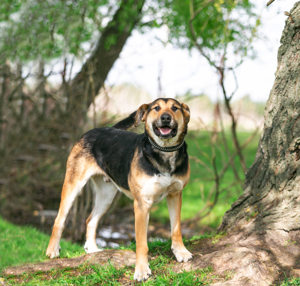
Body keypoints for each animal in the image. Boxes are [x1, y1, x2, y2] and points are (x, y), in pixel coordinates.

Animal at [46, 97, 193, 280]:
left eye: (175, 108)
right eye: (156, 108)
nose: (165, 118)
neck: (164, 152)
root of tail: (94, 130)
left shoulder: (175, 195)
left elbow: (176, 229)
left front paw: (180, 252)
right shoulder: (142, 204)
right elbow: (142, 243)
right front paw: (141, 270)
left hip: (106, 195)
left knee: (90, 220)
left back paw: (92, 249)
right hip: (73, 185)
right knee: (59, 219)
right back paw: (52, 250)